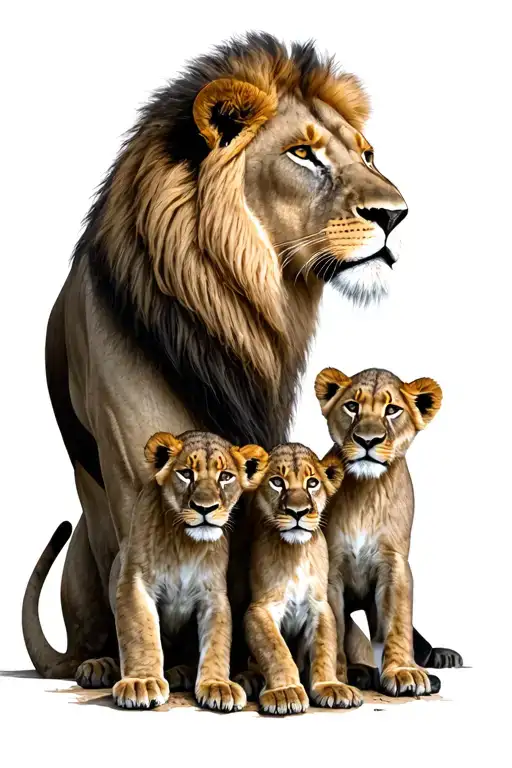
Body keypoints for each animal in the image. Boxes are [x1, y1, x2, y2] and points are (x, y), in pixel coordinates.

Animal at [24, 32, 428, 680]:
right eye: (303, 155)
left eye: (368, 155)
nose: (395, 214)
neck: (234, 307)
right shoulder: (135, 469)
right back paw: (99, 663)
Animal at [241, 443, 363, 715]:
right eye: (277, 482)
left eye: (312, 483)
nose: (298, 512)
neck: (296, 551)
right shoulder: (260, 608)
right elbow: (275, 649)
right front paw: (284, 692)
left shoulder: (319, 606)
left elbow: (325, 648)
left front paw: (331, 687)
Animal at [314, 367, 463, 696]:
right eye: (352, 406)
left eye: (392, 410)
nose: (367, 440)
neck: (366, 492)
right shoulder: (331, 568)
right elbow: (334, 626)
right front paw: (338, 677)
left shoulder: (395, 563)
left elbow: (397, 622)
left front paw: (404, 672)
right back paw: (361, 674)